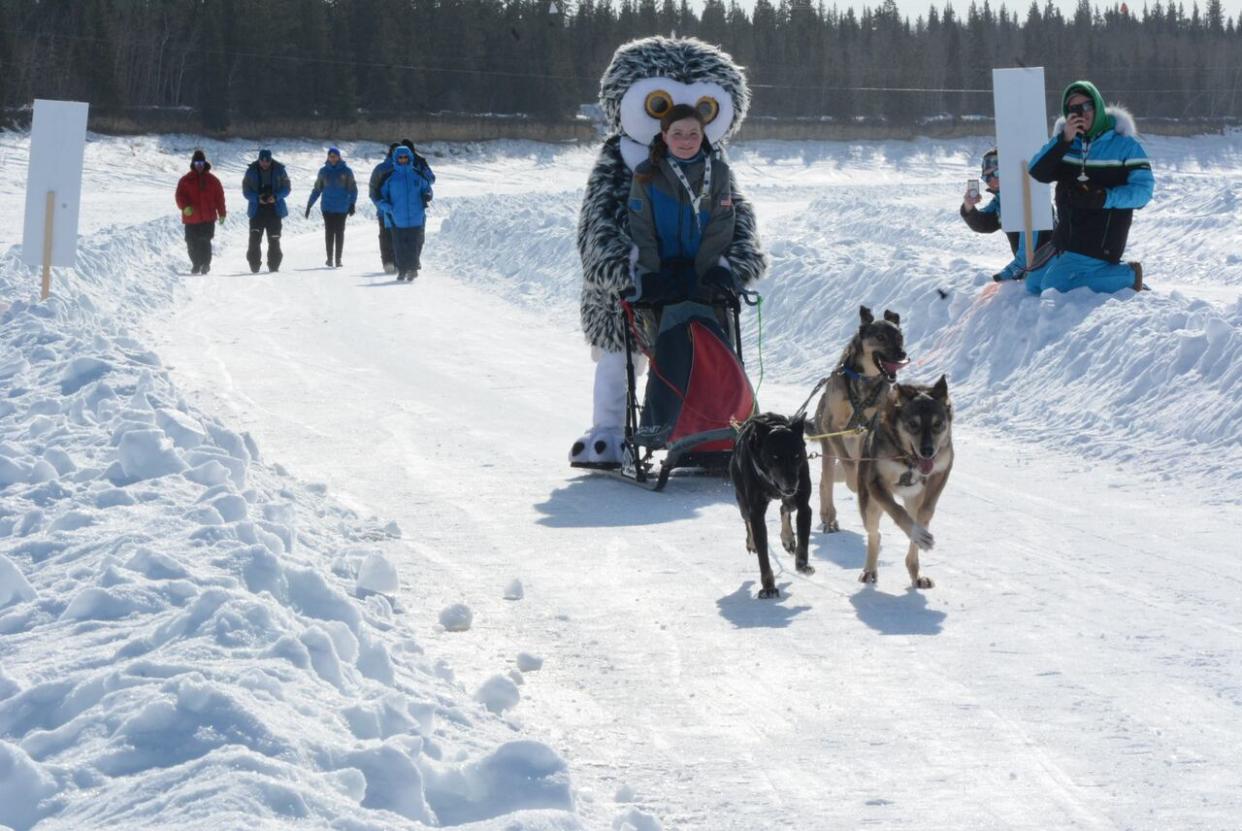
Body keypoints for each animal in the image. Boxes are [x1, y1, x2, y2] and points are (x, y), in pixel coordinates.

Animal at [725, 412, 814, 596]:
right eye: (775, 456)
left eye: (797, 455)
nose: (792, 483)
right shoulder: (757, 513)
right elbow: (763, 555)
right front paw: (768, 586)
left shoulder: (804, 507)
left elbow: (803, 542)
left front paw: (802, 565)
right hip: (743, 501)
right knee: (747, 519)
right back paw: (751, 542)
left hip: (791, 499)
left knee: (785, 507)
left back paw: (788, 538)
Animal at [809, 304, 909, 531]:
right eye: (880, 337)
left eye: (899, 337)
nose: (902, 354)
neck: (865, 380)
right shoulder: (832, 427)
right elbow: (847, 465)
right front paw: (853, 484)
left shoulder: (869, 430)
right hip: (828, 446)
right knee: (826, 479)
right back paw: (828, 515)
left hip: (855, 445)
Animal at [859, 375, 953, 588]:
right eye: (913, 424)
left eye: (937, 424)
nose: (928, 451)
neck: (909, 461)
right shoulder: (875, 483)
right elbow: (897, 511)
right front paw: (917, 533)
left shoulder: (941, 471)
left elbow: (925, 512)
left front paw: (921, 532)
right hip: (869, 505)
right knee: (875, 534)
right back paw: (869, 570)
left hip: (913, 498)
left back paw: (917, 572)